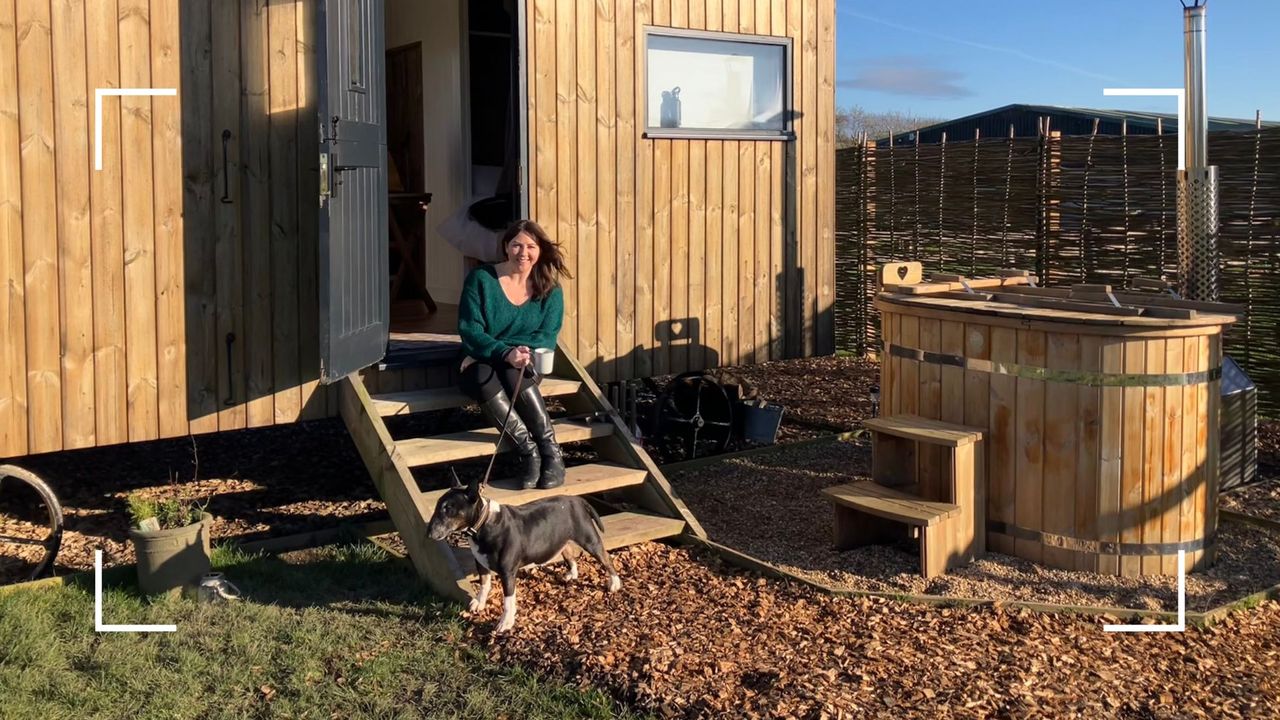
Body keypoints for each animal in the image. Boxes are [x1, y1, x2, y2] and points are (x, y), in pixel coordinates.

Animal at [427, 474, 622, 630]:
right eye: (437, 506)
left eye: (448, 509)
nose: (429, 533)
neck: (484, 523)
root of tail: (578, 500)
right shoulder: (481, 563)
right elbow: (484, 585)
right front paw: (479, 603)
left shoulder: (507, 572)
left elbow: (508, 600)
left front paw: (505, 623)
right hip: (562, 538)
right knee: (569, 553)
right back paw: (572, 574)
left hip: (589, 539)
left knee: (606, 559)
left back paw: (614, 583)